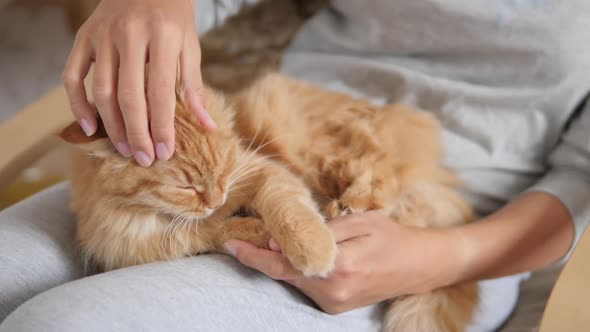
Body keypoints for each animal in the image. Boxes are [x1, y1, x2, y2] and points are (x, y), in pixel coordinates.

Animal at [60, 74, 478, 330]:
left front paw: (311, 248)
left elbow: (288, 211)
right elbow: (222, 231)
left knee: (381, 176)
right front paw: (255, 231)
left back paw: (346, 206)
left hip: (323, 142)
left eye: (224, 165)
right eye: (186, 186)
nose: (217, 198)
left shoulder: (263, 171)